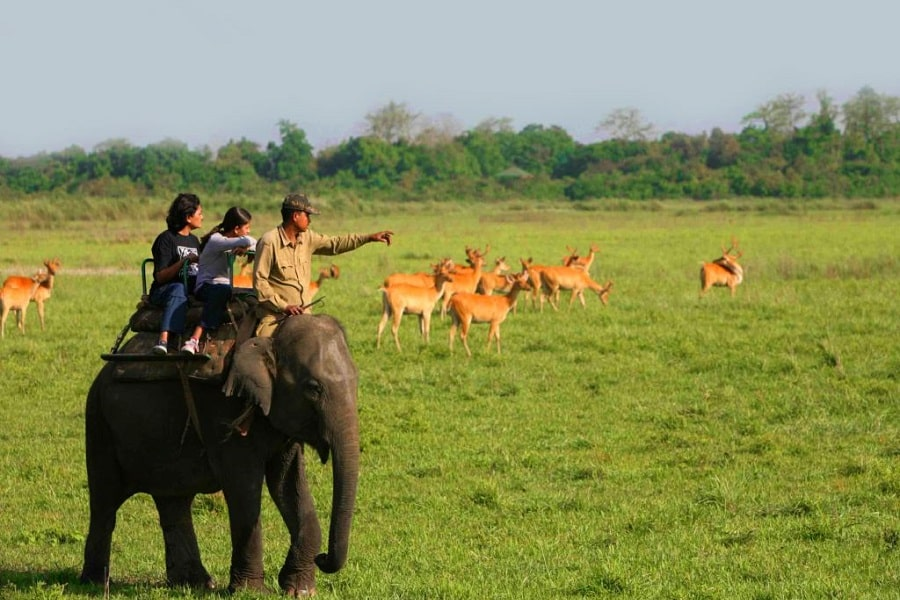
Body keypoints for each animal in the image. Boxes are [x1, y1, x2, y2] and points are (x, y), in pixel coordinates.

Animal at [79, 314, 360, 596]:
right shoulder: (222, 412)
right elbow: (244, 487)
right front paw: (251, 592)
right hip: (99, 424)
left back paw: (193, 582)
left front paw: (299, 591)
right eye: (313, 388)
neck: (270, 336)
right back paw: (96, 582)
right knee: (105, 501)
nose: (322, 558)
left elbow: (289, 486)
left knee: (174, 501)